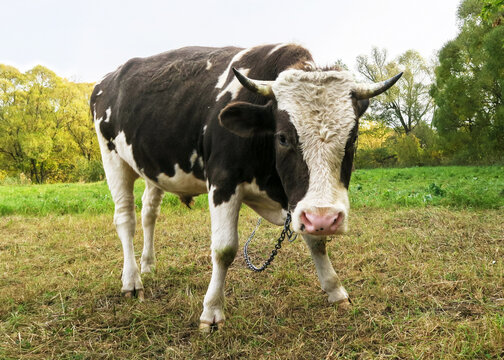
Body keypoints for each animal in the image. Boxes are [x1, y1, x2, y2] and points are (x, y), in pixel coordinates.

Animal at [88, 43, 400, 330]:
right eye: (283, 137)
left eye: (353, 138)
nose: (325, 218)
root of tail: (107, 80)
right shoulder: (223, 182)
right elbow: (224, 250)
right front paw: (212, 311)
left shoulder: (300, 202)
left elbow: (316, 240)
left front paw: (335, 290)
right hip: (113, 159)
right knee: (125, 219)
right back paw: (132, 280)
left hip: (155, 168)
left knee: (149, 214)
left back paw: (148, 264)